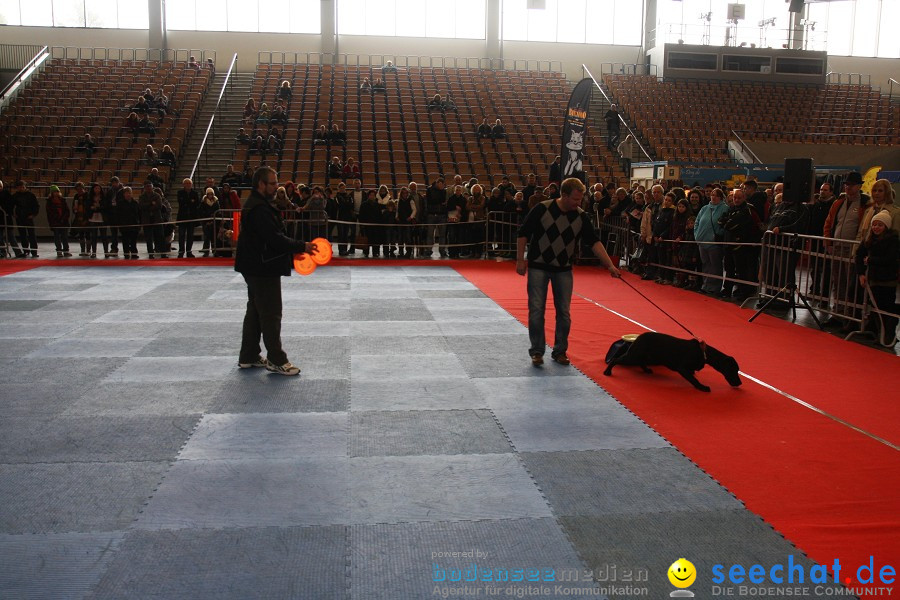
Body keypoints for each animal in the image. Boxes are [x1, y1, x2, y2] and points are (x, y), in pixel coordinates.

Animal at [604, 330, 740, 392]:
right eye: (733, 370)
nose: (740, 383)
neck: (704, 352)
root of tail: (639, 337)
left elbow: (693, 375)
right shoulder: (683, 368)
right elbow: (694, 380)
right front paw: (702, 387)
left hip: (647, 356)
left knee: (641, 362)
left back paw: (647, 370)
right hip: (633, 356)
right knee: (615, 359)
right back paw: (607, 372)